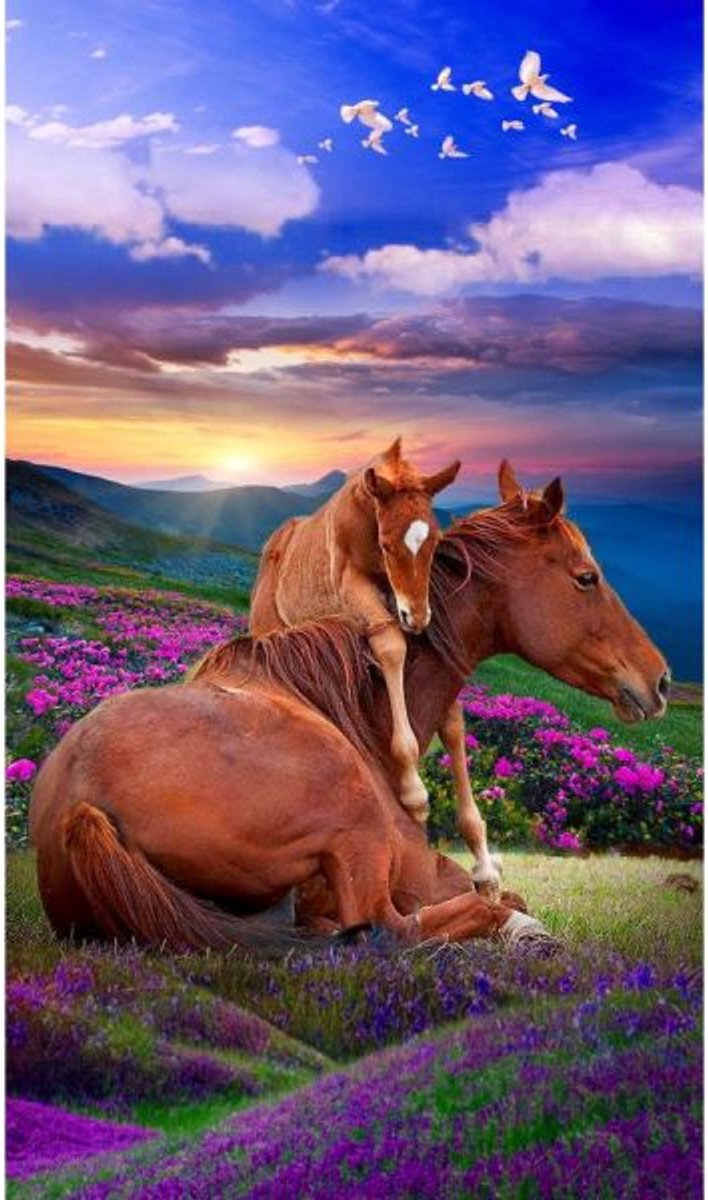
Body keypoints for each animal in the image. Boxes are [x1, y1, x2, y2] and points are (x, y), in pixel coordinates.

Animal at [250, 437, 460, 823]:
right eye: (387, 544)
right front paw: (413, 791)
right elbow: (391, 645)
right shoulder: (351, 583)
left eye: (435, 542)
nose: (417, 617)